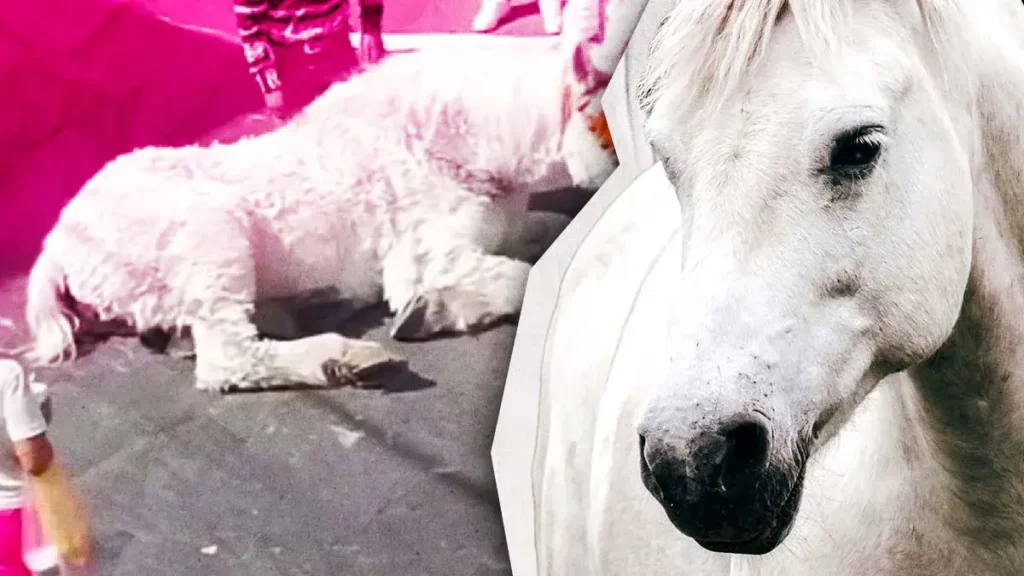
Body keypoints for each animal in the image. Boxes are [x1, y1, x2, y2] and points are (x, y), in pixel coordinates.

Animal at [21, 38, 618, 393]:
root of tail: (57, 245)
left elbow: (542, 240)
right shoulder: (422, 254)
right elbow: (517, 278)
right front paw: (429, 312)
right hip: (205, 237)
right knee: (225, 357)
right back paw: (340, 357)